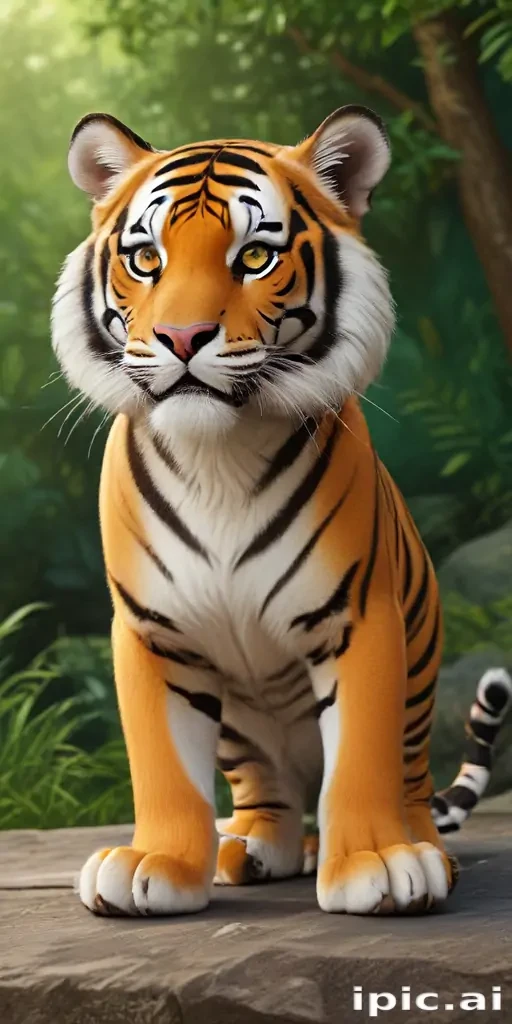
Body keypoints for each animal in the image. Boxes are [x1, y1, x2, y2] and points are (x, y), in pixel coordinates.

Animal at [52, 105, 473, 918]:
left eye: (253, 257)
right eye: (145, 259)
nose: (181, 338)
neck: (218, 455)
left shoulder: (358, 616)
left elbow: (361, 755)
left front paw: (375, 863)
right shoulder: (153, 633)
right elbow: (162, 765)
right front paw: (156, 862)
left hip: (421, 674)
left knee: (406, 775)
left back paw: (420, 848)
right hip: (241, 730)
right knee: (266, 791)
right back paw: (246, 848)